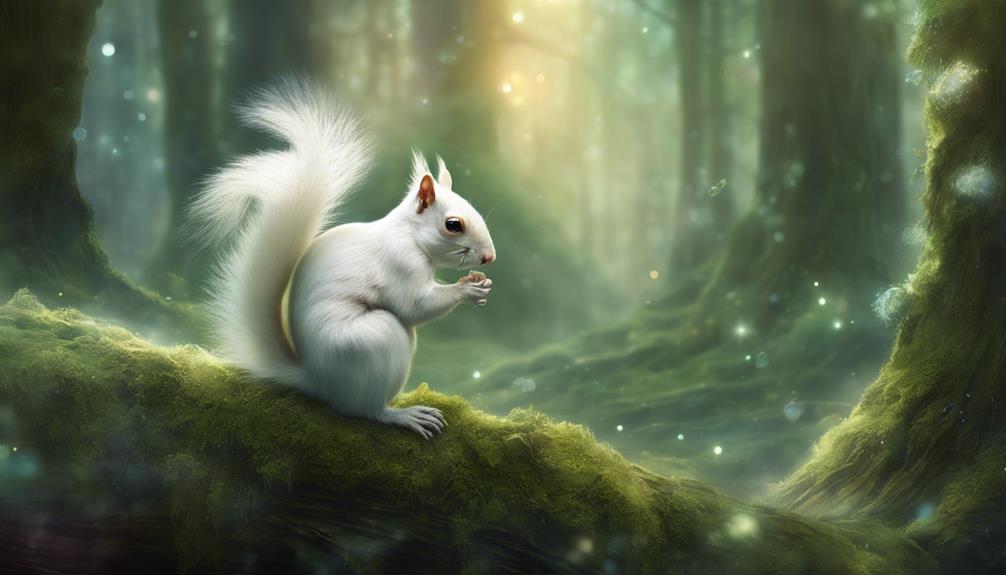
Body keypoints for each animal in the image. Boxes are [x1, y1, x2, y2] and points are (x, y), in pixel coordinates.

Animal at [188, 81, 496, 439]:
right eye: (453, 224)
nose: (489, 257)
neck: (407, 234)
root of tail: (316, 380)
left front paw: (481, 284)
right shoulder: (399, 263)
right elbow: (414, 305)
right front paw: (467, 289)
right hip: (374, 342)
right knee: (364, 410)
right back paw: (401, 414)